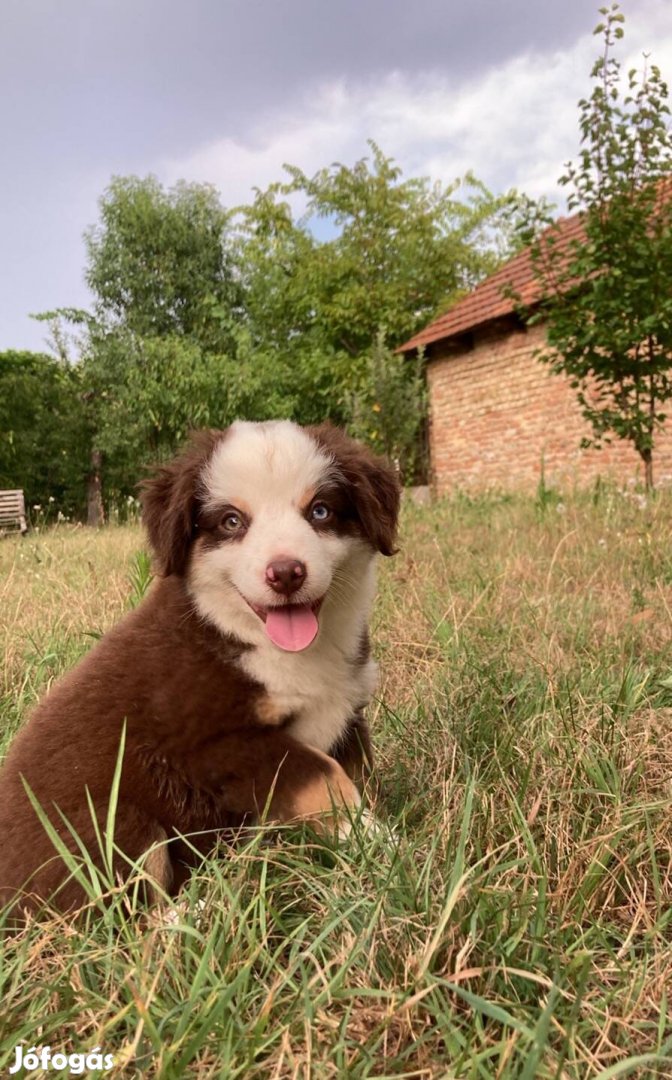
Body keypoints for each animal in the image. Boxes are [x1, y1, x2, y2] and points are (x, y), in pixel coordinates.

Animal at [0, 419, 399, 911]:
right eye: (232, 522)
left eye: (320, 511)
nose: (286, 573)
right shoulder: (212, 745)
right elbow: (325, 777)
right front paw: (382, 844)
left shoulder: (345, 715)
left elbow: (356, 777)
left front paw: (366, 841)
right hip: (111, 824)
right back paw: (208, 908)